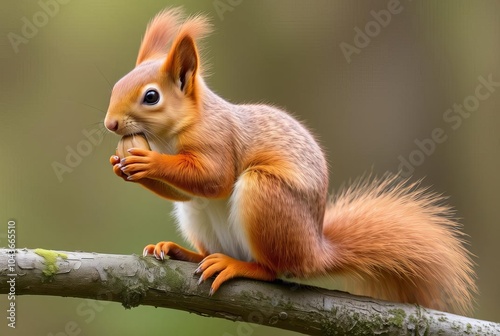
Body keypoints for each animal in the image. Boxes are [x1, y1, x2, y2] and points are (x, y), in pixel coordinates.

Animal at [103, 7, 474, 314]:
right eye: (115, 86)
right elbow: (186, 190)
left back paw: (237, 266)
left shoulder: (218, 140)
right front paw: (120, 166)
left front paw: (147, 163)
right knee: (206, 241)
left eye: (152, 97)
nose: (110, 123)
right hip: (197, 217)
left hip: (266, 196)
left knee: (271, 269)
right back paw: (181, 251)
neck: (168, 138)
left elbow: (214, 179)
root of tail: (314, 251)